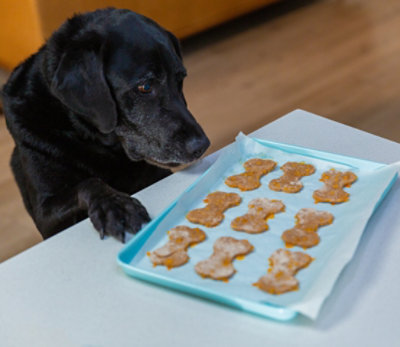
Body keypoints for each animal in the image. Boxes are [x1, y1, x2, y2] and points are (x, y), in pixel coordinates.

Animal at [2, 8, 209, 242]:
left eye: (180, 79)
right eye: (145, 87)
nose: (202, 145)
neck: (96, 142)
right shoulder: (45, 211)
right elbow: (89, 183)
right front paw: (115, 206)